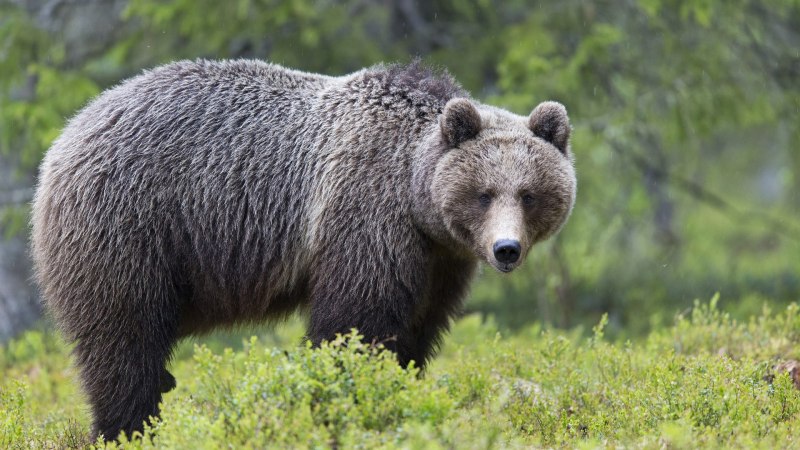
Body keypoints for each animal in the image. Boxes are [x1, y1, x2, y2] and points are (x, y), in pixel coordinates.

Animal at [30, 59, 576, 440]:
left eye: (528, 194)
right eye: (484, 193)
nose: (506, 249)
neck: (416, 201)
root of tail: (70, 131)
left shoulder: (440, 262)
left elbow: (417, 330)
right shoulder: (364, 217)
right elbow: (354, 324)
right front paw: (344, 399)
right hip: (129, 228)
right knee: (124, 341)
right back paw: (126, 428)